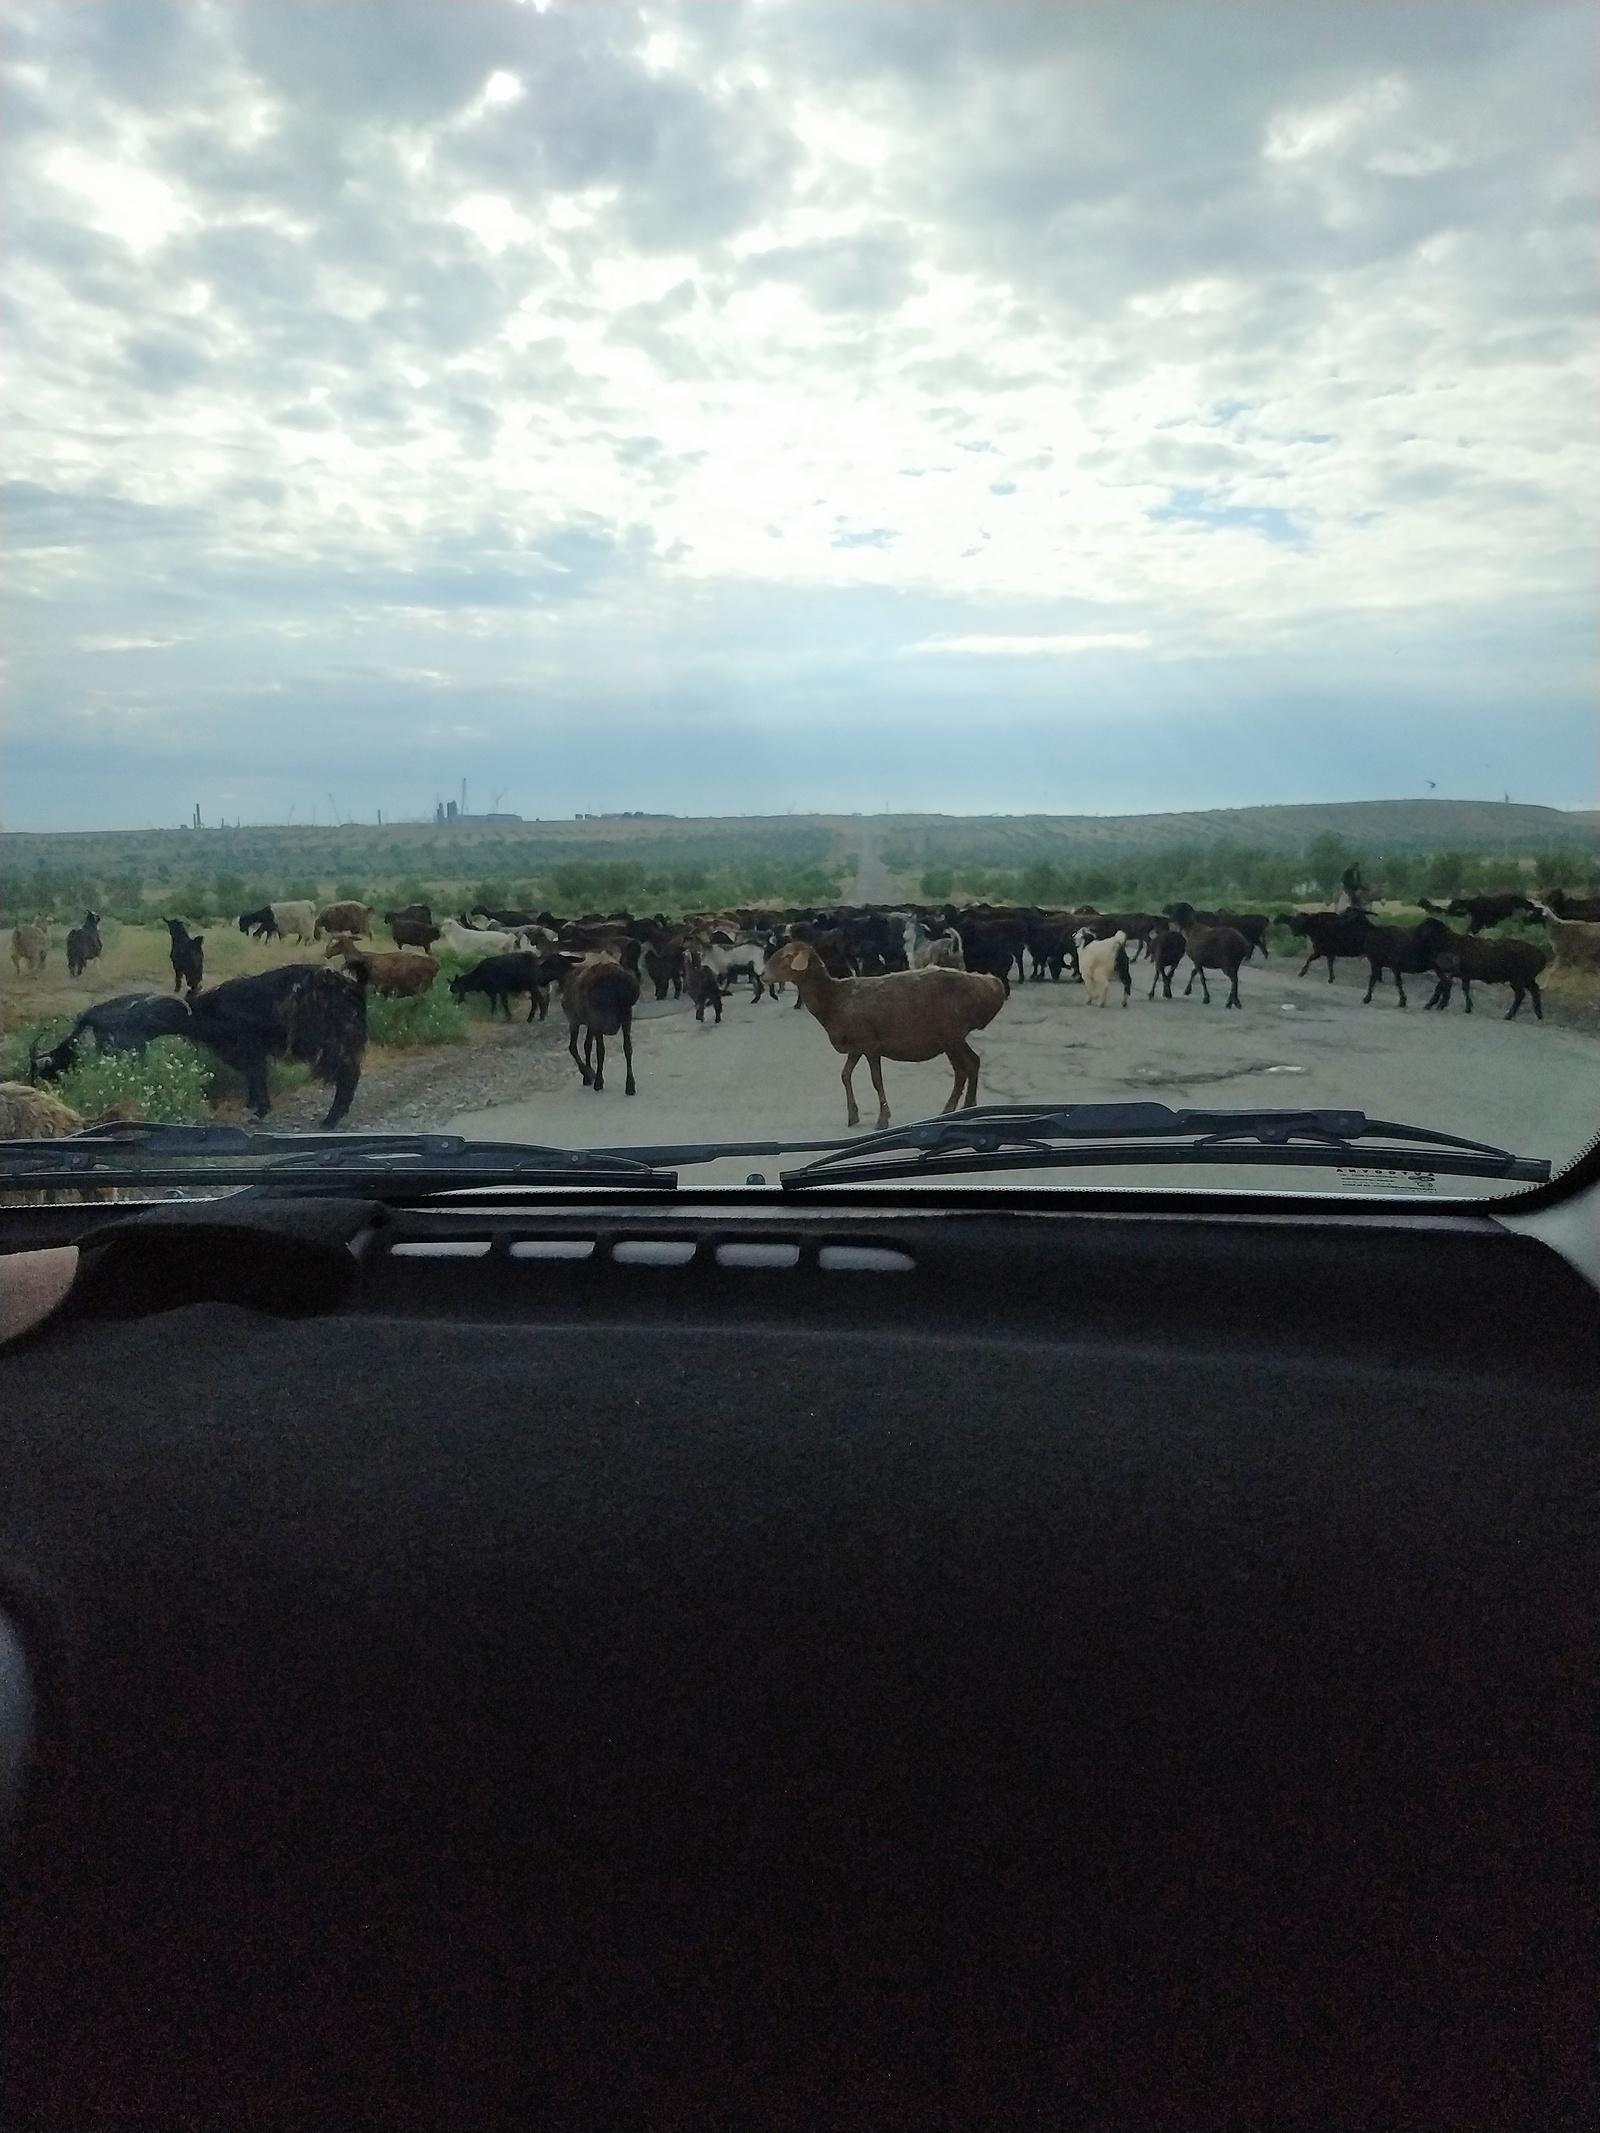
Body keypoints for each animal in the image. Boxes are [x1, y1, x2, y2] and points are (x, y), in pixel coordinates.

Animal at [183, 968, 369, 1134]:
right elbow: (252, 1076)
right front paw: (252, 1104)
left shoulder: (250, 1048)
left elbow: (257, 1075)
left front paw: (261, 1110)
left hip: (337, 1044)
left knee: (348, 1077)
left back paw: (330, 1120)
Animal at [563, 968, 640, 1100]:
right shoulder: (591, 1024)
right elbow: (587, 1046)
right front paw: (589, 1075)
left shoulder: (582, 1021)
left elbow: (582, 1048)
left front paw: (591, 1075)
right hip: (626, 1016)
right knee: (627, 1047)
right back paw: (630, 1086)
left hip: (600, 1018)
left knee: (600, 1049)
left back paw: (597, 1080)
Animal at [759, 938, 1002, 1126]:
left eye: (787, 956)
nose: (762, 975)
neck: (833, 1001)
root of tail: (993, 986)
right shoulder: (855, 1046)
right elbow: (845, 1075)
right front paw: (853, 1115)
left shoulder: (870, 1044)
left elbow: (876, 1080)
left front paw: (882, 1119)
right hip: (953, 1037)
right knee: (971, 1064)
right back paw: (962, 1108)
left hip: (950, 1034)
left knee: (965, 1067)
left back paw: (958, 1107)